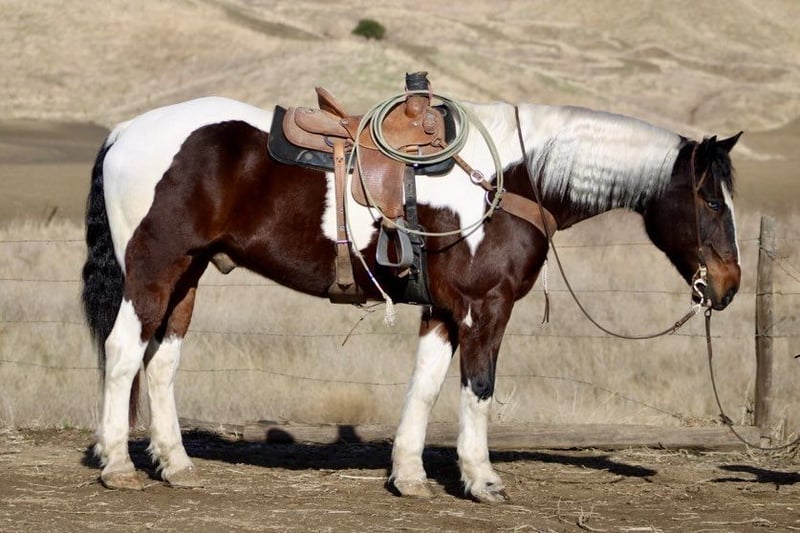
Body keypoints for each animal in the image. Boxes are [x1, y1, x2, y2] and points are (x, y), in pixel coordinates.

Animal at [81, 94, 742, 503]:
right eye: (712, 200)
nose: (730, 285)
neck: (509, 180)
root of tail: (124, 133)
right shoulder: (485, 307)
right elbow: (478, 390)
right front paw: (482, 480)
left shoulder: (445, 312)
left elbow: (423, 388)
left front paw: (409, 476)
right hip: (153, 270)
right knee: (123, 353)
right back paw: (118, 465)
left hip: (186, 276)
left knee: (161, 362)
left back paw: (176, 465)